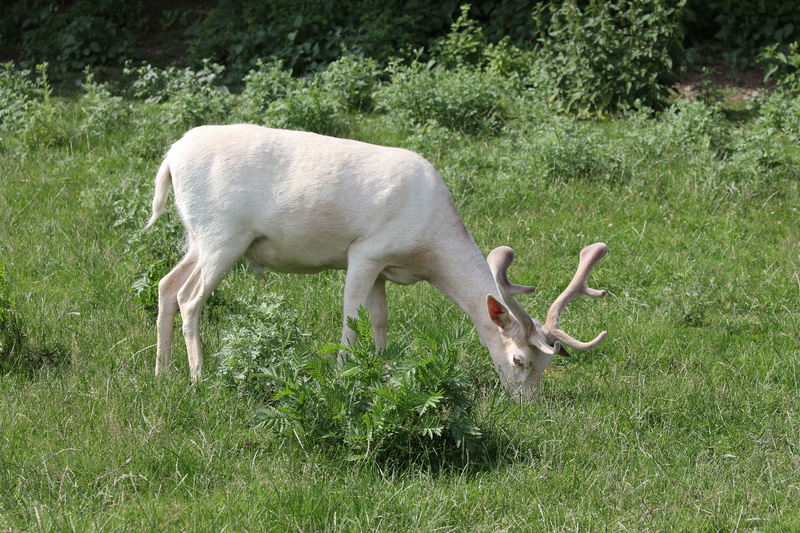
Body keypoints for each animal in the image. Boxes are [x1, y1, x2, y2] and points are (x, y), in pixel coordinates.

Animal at [145, 124, 609, 397]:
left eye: (548, 363)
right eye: (519, 360)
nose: (528, 403)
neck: (427, 248)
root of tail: (169, 158)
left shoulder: (384, 270)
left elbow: (382, 320)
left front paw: (384, 371)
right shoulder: (364, 251)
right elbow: (351, 321)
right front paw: (341, 375)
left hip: (197, 236)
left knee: (166, 285)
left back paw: (161, 373)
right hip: (223, 234)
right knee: (190, 298)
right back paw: (199, 378)